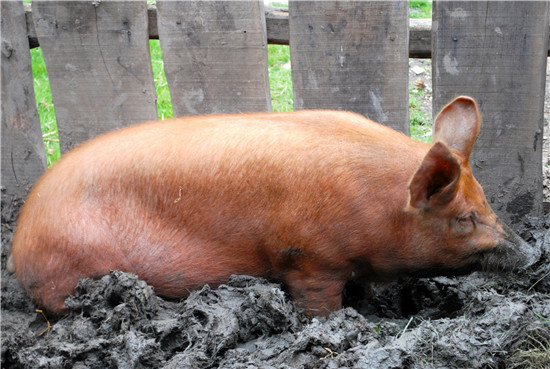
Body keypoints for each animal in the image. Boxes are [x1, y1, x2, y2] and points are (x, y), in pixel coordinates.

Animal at [9, 95, 544, 316]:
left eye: (486, 202)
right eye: (465, 218)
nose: (532, 253)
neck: (378, 207)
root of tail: (19, 240)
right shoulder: (308, 257)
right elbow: (318, 302)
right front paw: (338, 323)